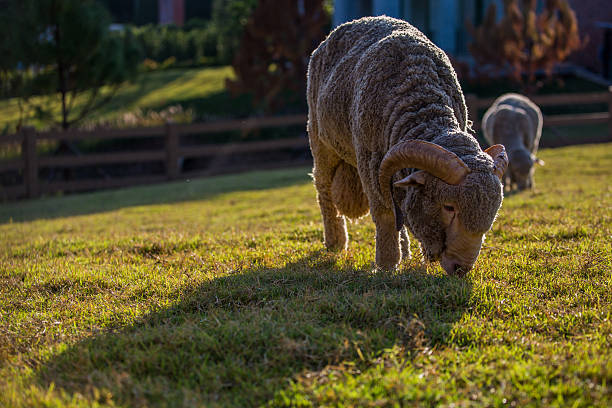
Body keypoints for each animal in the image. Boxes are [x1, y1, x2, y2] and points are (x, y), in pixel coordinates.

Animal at [306, 17, 506, 276]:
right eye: (449, 207)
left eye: (493, 212)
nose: (460, 268)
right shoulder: (370, 162)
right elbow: (385, 214)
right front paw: (386, 265)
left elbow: (397, 208)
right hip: (321, 140)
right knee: (324, 189)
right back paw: (335, 241)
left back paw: (405, 250)